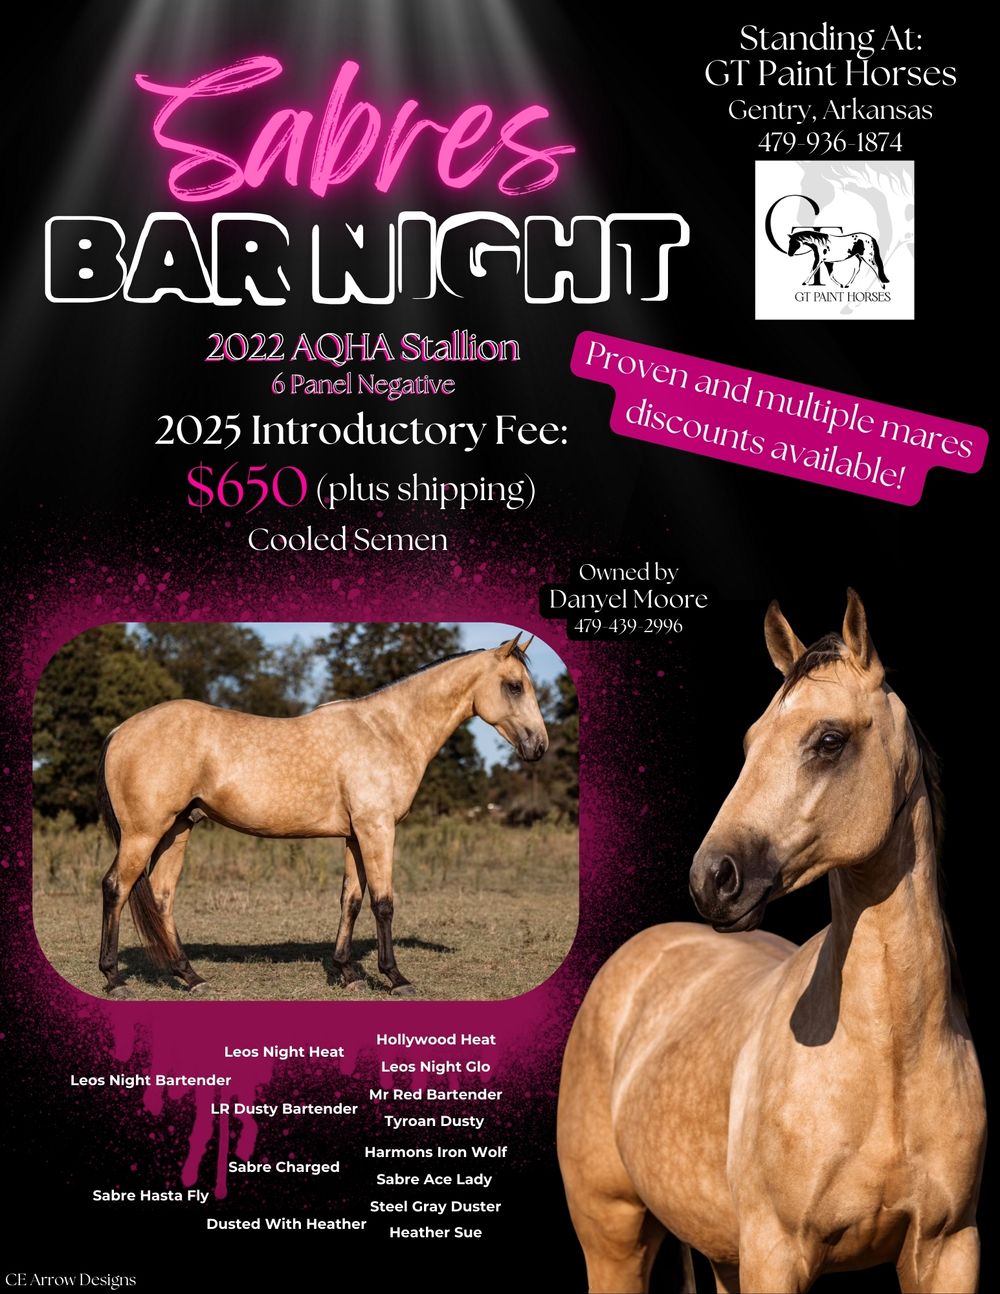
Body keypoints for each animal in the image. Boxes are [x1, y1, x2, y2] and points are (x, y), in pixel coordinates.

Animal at [96, 633, 547, 998]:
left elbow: (351, 899)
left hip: (177, 829)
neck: (388, 732)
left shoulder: (355, 835)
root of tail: (120, 731)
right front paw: (395, 978)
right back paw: (115, 979)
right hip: (143, 833)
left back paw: (191, 977)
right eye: (514, 686)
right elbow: (383, 902)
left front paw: (347, 973)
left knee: (161, 895)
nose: (538, 746)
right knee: (116, 887)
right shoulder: (377, 829)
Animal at [558, 593, 984, 1292]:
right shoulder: (777, 1252)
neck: (891, 1055)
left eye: (829, 741)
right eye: (751, 741)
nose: (712, 879)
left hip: (723, 1254)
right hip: (615, 1238)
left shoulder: (947, 1249)